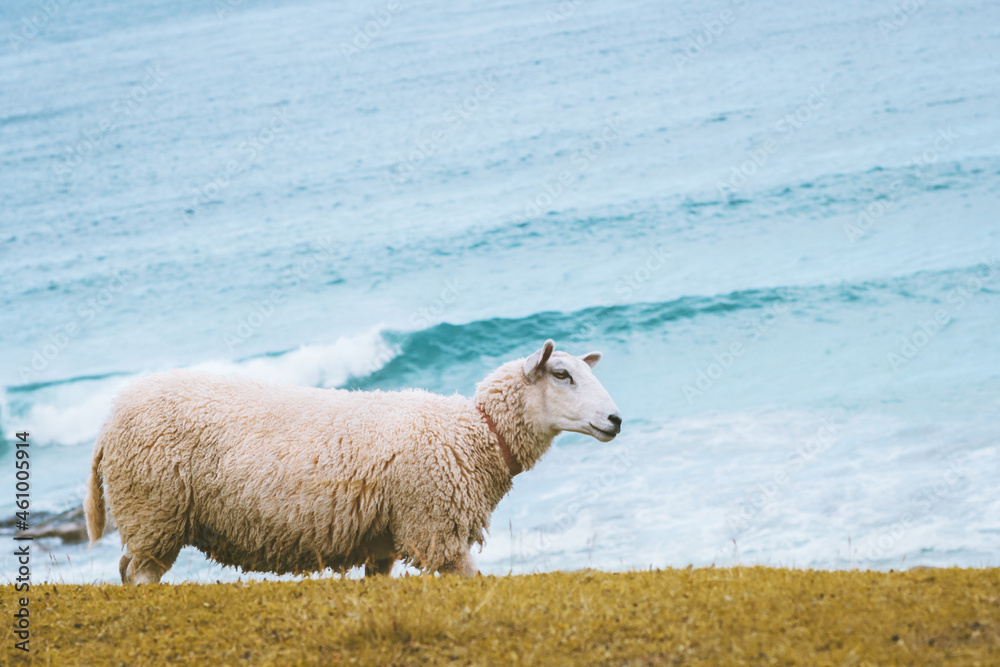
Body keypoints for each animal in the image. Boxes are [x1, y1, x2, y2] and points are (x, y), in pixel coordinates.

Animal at [86, 342, 620, 580]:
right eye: (561, 374)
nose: (615, 419)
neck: (474, 433)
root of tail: (111, 415)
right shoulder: (434, 530)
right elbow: (473, 581)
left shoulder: (382, 541)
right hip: (156, 510)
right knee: (140, 574)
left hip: (151, 518)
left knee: (126, 569)